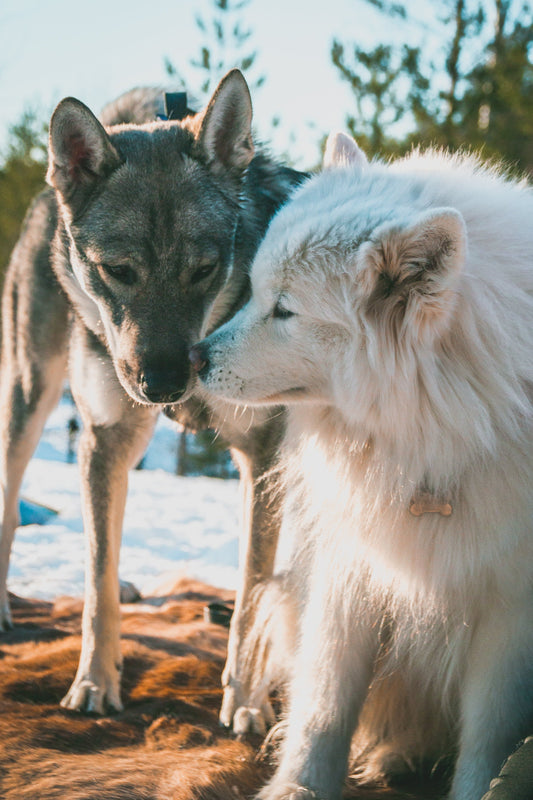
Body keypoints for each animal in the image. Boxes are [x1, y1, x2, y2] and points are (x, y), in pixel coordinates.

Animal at [0, 72, 304, 720]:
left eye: (204, 270)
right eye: (118, 270)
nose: (163, 385)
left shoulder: (261, 457)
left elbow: (251, 588)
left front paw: (246, 697)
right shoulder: (105, 434)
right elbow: (94, 584)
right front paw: (94, 681)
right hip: (33, 398)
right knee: (16, 508)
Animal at [189, 138, 532, 800]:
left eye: (285, 310)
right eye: (253, 290)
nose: (194, 356)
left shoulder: (509, 614)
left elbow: (489, 736)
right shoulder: (352, 570)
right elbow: (325, 705)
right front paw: (297, 787)